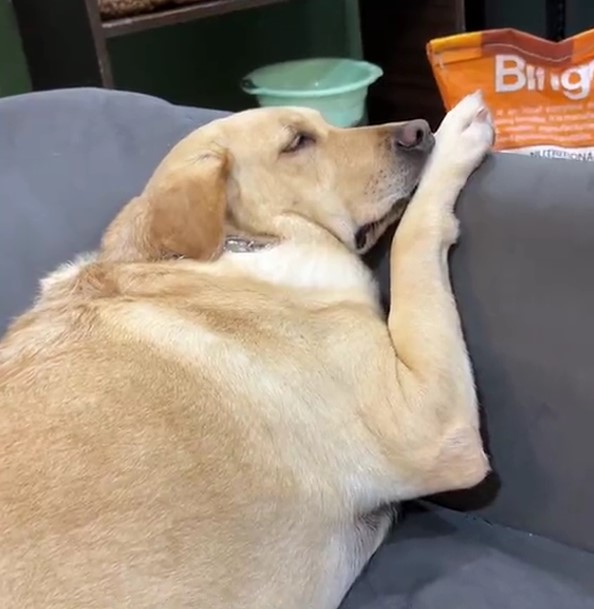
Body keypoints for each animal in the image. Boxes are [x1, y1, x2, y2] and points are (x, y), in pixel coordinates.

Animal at [0, 91, 490, 608]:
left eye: (325, 124)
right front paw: (455, 137)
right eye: (297, 142)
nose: (419, 130)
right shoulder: (429, 425)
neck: (247, 245)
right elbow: (412, 240)